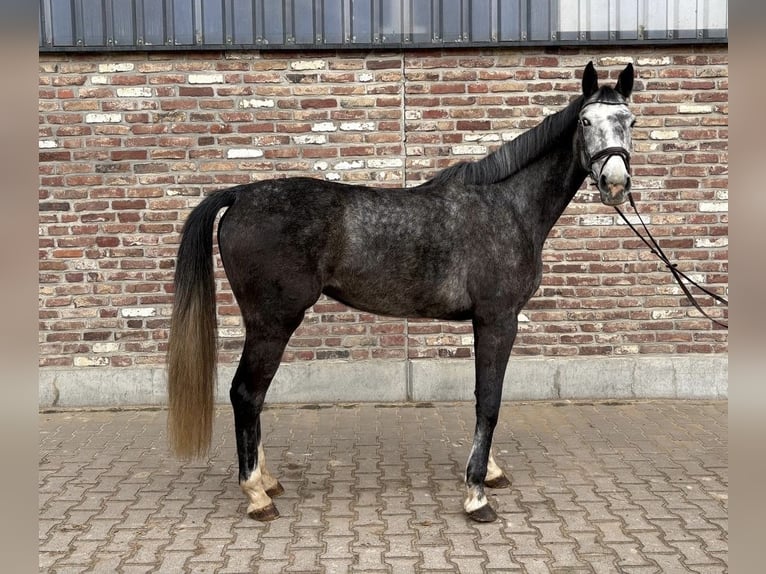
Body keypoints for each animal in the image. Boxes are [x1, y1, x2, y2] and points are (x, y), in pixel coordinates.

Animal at [166, 61, 635, 523]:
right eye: (585, 121)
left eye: (630, 120)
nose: (615, 182)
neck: (506, 206)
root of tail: (240, 195)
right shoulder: (498, 319)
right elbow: (489, 401)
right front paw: (477, 494)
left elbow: (485, 395)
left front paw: (490, 472)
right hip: (272, 323)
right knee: (246, 394)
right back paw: (256, 494)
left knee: (253, 396)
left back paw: (267, 481)